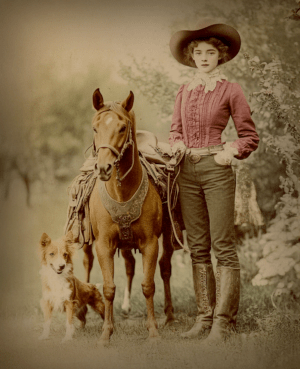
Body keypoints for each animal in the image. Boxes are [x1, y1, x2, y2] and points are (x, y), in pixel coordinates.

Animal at [83, 87, 175, 344]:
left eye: (122, 128)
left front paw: (153, 330)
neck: (122, 193)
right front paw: (106, 332)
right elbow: (108, 288)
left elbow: (148, 285)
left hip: (167, 236)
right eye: (95, 127)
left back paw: (169, 314)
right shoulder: (103, 244)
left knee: (164, 267)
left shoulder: (150, 243)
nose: (103, 168)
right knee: (93, 263)